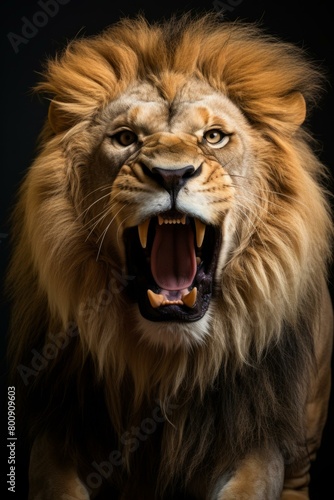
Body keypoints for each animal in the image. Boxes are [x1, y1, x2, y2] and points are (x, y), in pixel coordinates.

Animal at [5, 11, 334, 500]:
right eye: (125, 138)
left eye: (214, 137)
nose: (172, 174)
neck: (165, 361)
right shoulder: (60, 430)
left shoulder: (255, 440)